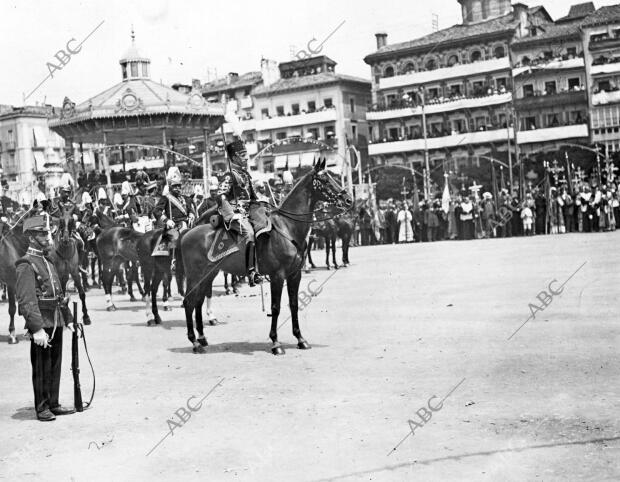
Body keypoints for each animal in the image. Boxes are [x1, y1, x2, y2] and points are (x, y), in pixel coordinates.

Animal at [182, 159, 352, 354]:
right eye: (324, 180)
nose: (349, 199)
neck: (287, 227)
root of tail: (188, 232)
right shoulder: (277, 275)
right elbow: (275, 308)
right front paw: (276, 343)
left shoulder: (294, 275)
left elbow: (294, 305)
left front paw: (300, 339)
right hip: (195, 276)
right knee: (188, 302)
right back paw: (194, 342)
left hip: (208, 275)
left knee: (198, 302)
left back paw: (202, 339)